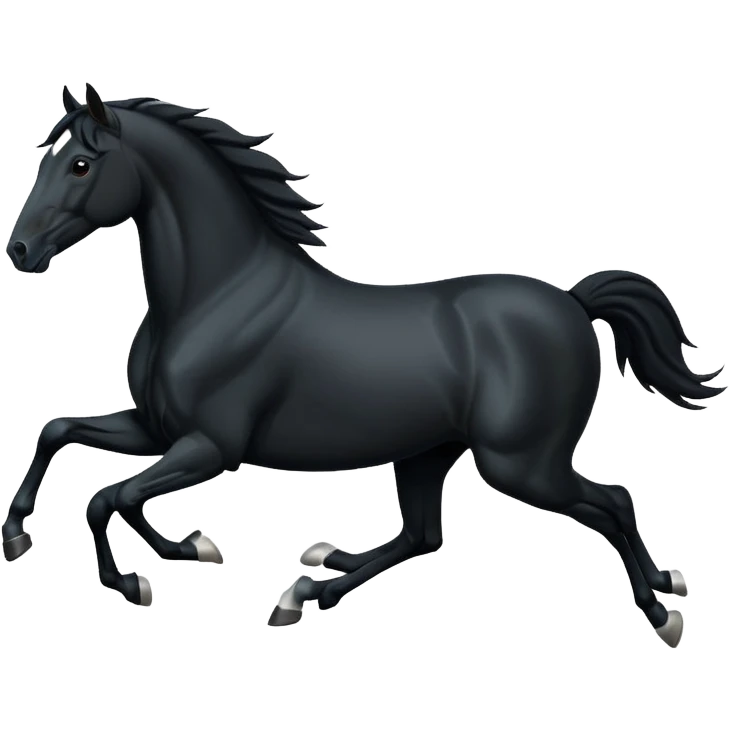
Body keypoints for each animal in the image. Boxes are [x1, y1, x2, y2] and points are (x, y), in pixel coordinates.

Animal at [4, 84, 724, 645]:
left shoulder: (210, 446)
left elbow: (111, 496)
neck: (215, 295)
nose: (20, 251)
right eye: (46, 157)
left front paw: (149, 571)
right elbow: (61, 435)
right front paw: (20, 538)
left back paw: (663, 610)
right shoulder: (156, 428)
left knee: (612, 502)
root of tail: (573, 301)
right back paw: (308, 587)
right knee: (423, 535)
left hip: (520, 463)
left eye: (80, 164)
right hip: (429, 453)